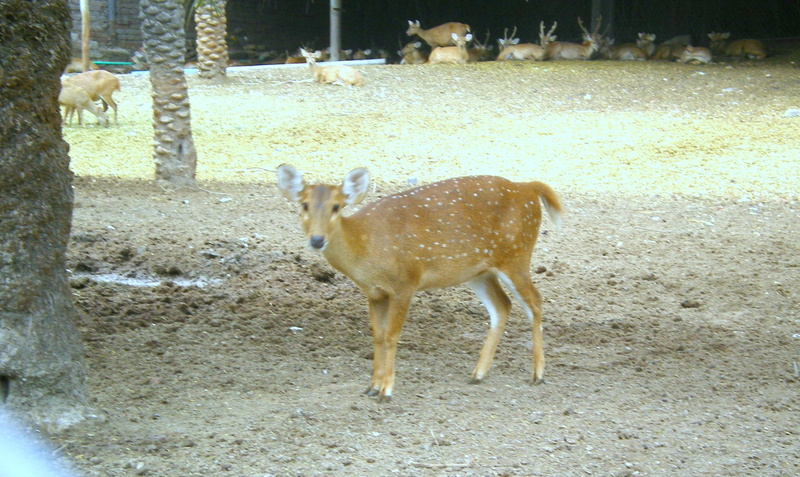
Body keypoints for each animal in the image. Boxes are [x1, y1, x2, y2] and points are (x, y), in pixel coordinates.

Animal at [277, 165, 563, 402]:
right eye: (304, 204)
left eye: (336, 206)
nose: (317, 240)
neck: (366, 248)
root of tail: (528, 188)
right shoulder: (374, 293)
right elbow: (377, 336)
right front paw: (372, 387)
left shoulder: (405, 283)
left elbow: (392, 336)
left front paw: (386, 391)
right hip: (480, 271)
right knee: (502, 306)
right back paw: (478, 374)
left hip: (516, 255)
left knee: (535, 302)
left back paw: (538, 374)